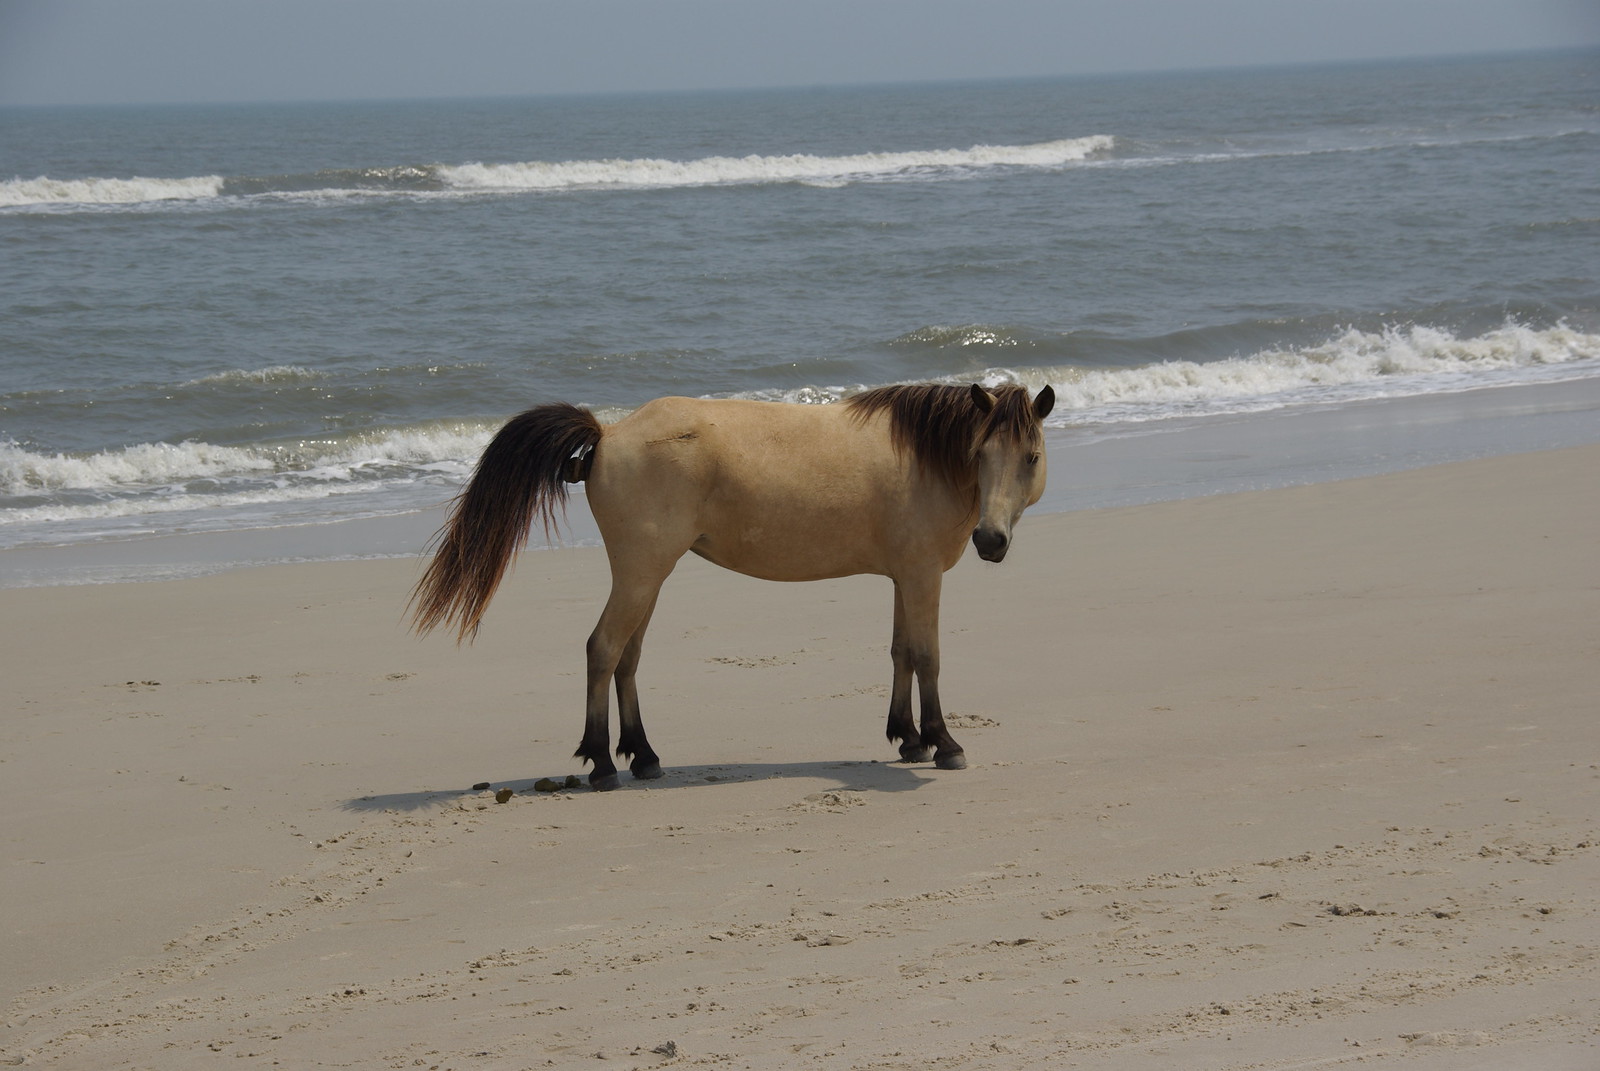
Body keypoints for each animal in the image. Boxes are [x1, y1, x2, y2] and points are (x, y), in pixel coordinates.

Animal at [411, 382, 1055, 790]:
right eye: (981, 451)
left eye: (1030, 456)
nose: (991, 540)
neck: (927, 457)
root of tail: (609, 433)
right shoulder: (922, 577)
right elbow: (928, 657)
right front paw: (944, 743)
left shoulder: (904, 576)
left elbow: (901, 652)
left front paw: (909, 738)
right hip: (640, 574)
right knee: (603, 649)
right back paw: (601, 763)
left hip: (648, 578)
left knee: (627, 658)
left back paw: (643, 755)